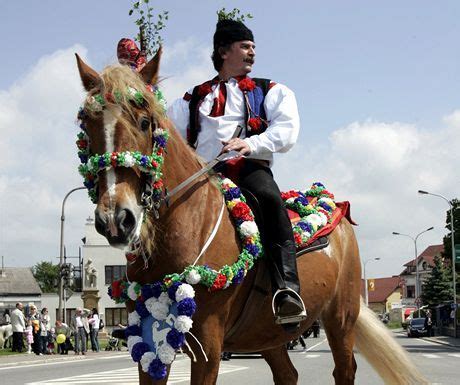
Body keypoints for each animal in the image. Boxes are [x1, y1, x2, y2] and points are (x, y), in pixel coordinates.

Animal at [75, 51, 428, 384]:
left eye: (145, 121)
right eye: (87, 127)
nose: (116, 219)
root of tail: (333, 205)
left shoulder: (208, 344)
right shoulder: (148, 341)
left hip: (341, 317)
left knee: (344, 370)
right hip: (267, 333)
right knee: (288, 374)